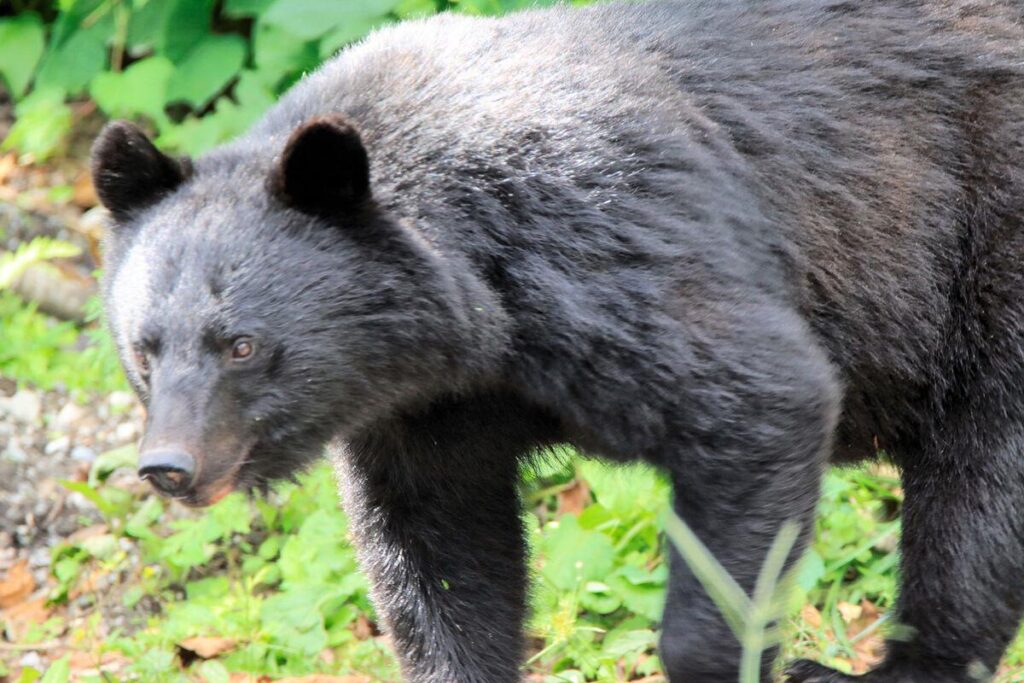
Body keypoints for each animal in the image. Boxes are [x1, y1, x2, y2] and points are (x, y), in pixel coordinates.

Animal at [90, 0, 1024, 681]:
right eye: (145, 349)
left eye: (241, 344)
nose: (169, 465)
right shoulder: (424, 410)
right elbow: (437, 556)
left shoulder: (605, 247)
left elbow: (761, 401)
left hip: (985, 253)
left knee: (979, 487)